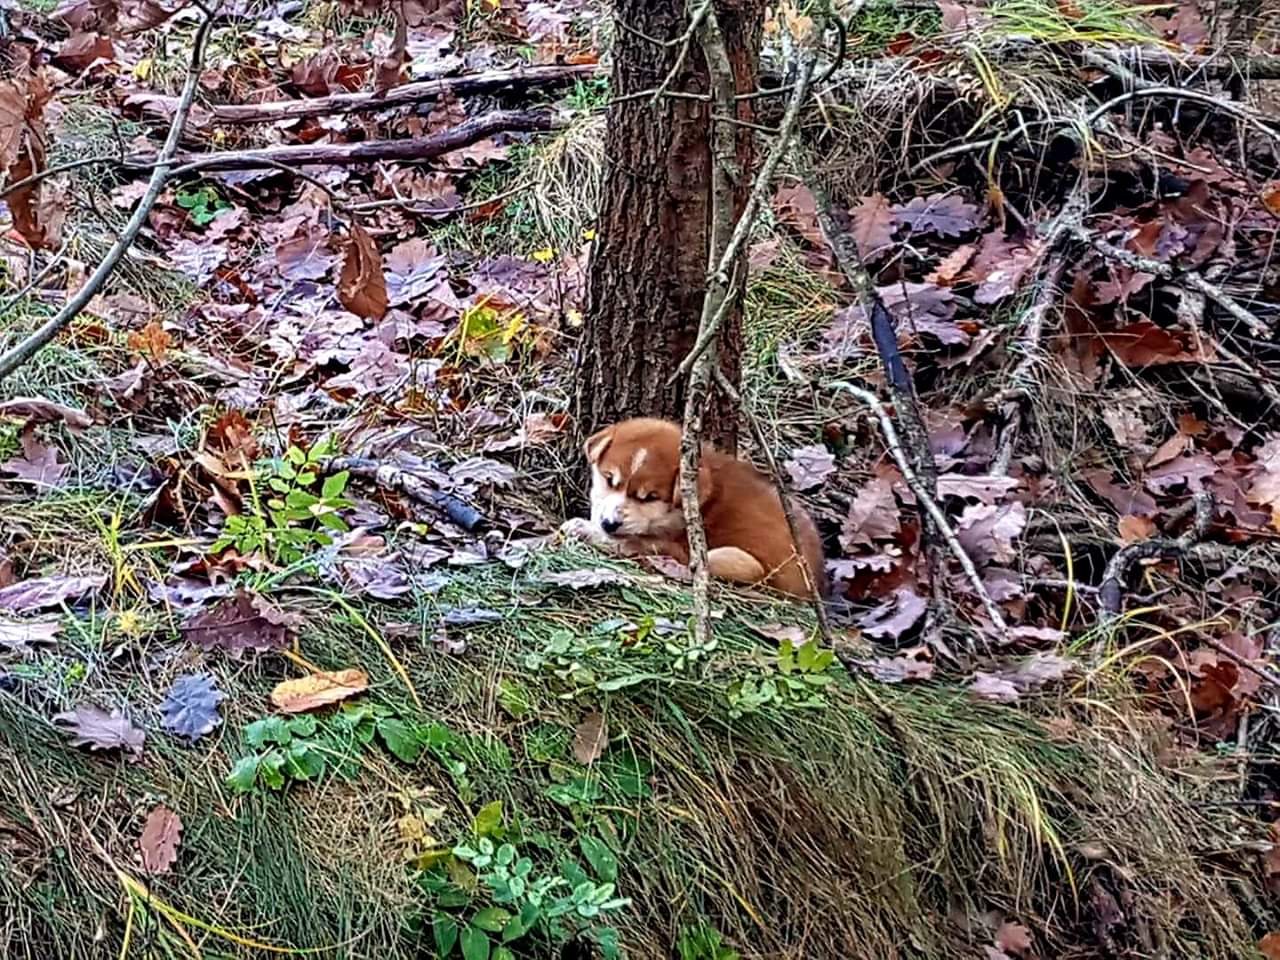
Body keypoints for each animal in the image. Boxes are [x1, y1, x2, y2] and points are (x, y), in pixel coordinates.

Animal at [559, 418, 827, 598]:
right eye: (609, 480)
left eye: (650, 498)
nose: (609, 523)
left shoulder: (674, 544)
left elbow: (632, 542)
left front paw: (585, 529)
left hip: (738, 561)